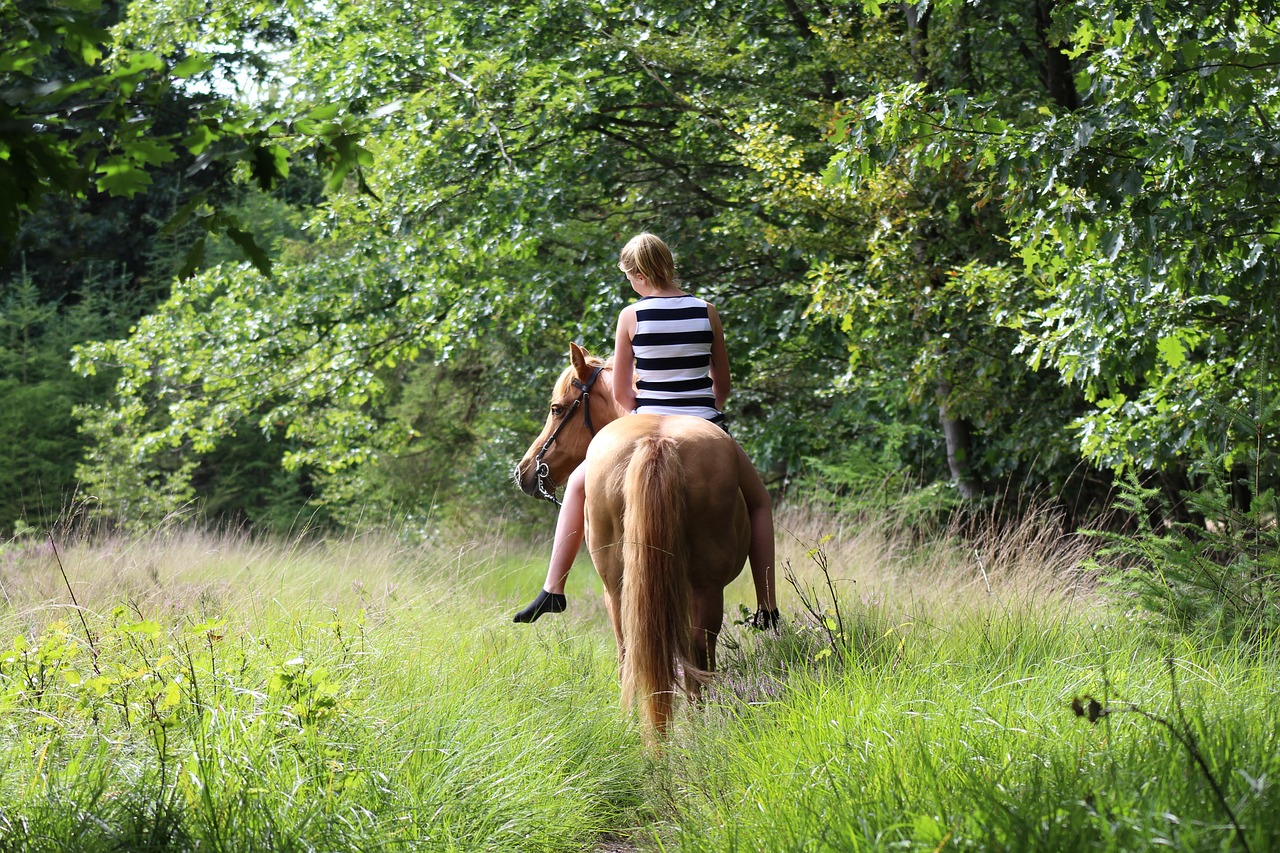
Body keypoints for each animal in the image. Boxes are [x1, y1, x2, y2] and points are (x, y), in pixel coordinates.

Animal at [517, 343, 752, 732]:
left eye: (556, 408)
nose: (525, 471)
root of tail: (656, 442)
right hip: (697, 589)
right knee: (689, 656)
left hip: (623, 588)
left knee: (640, 651)